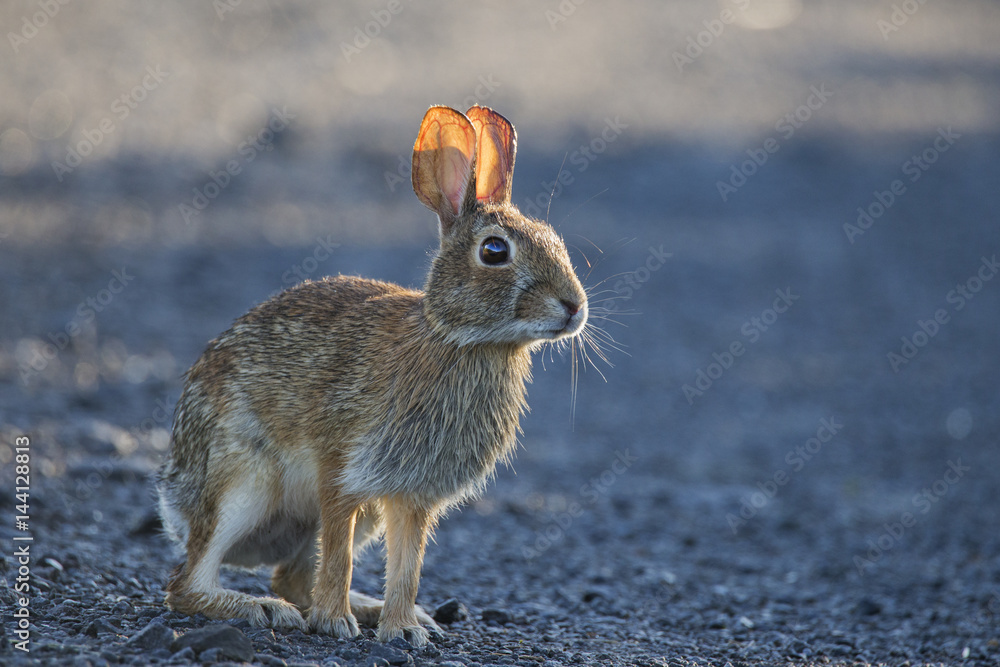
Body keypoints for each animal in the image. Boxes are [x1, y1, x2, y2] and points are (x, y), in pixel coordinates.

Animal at [155, 105, 588, 646]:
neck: (458, 338)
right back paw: (263, 609)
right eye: (494, 251)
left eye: (556, 239)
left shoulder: (411, 496)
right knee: (187, 583)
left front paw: (403, 630)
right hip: (241, 484)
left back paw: (371, 610)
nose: (574, 306)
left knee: (289, 576)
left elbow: (407, 567)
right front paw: (334, 624)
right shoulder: (340, 467)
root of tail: (174, 495)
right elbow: (339, 553)